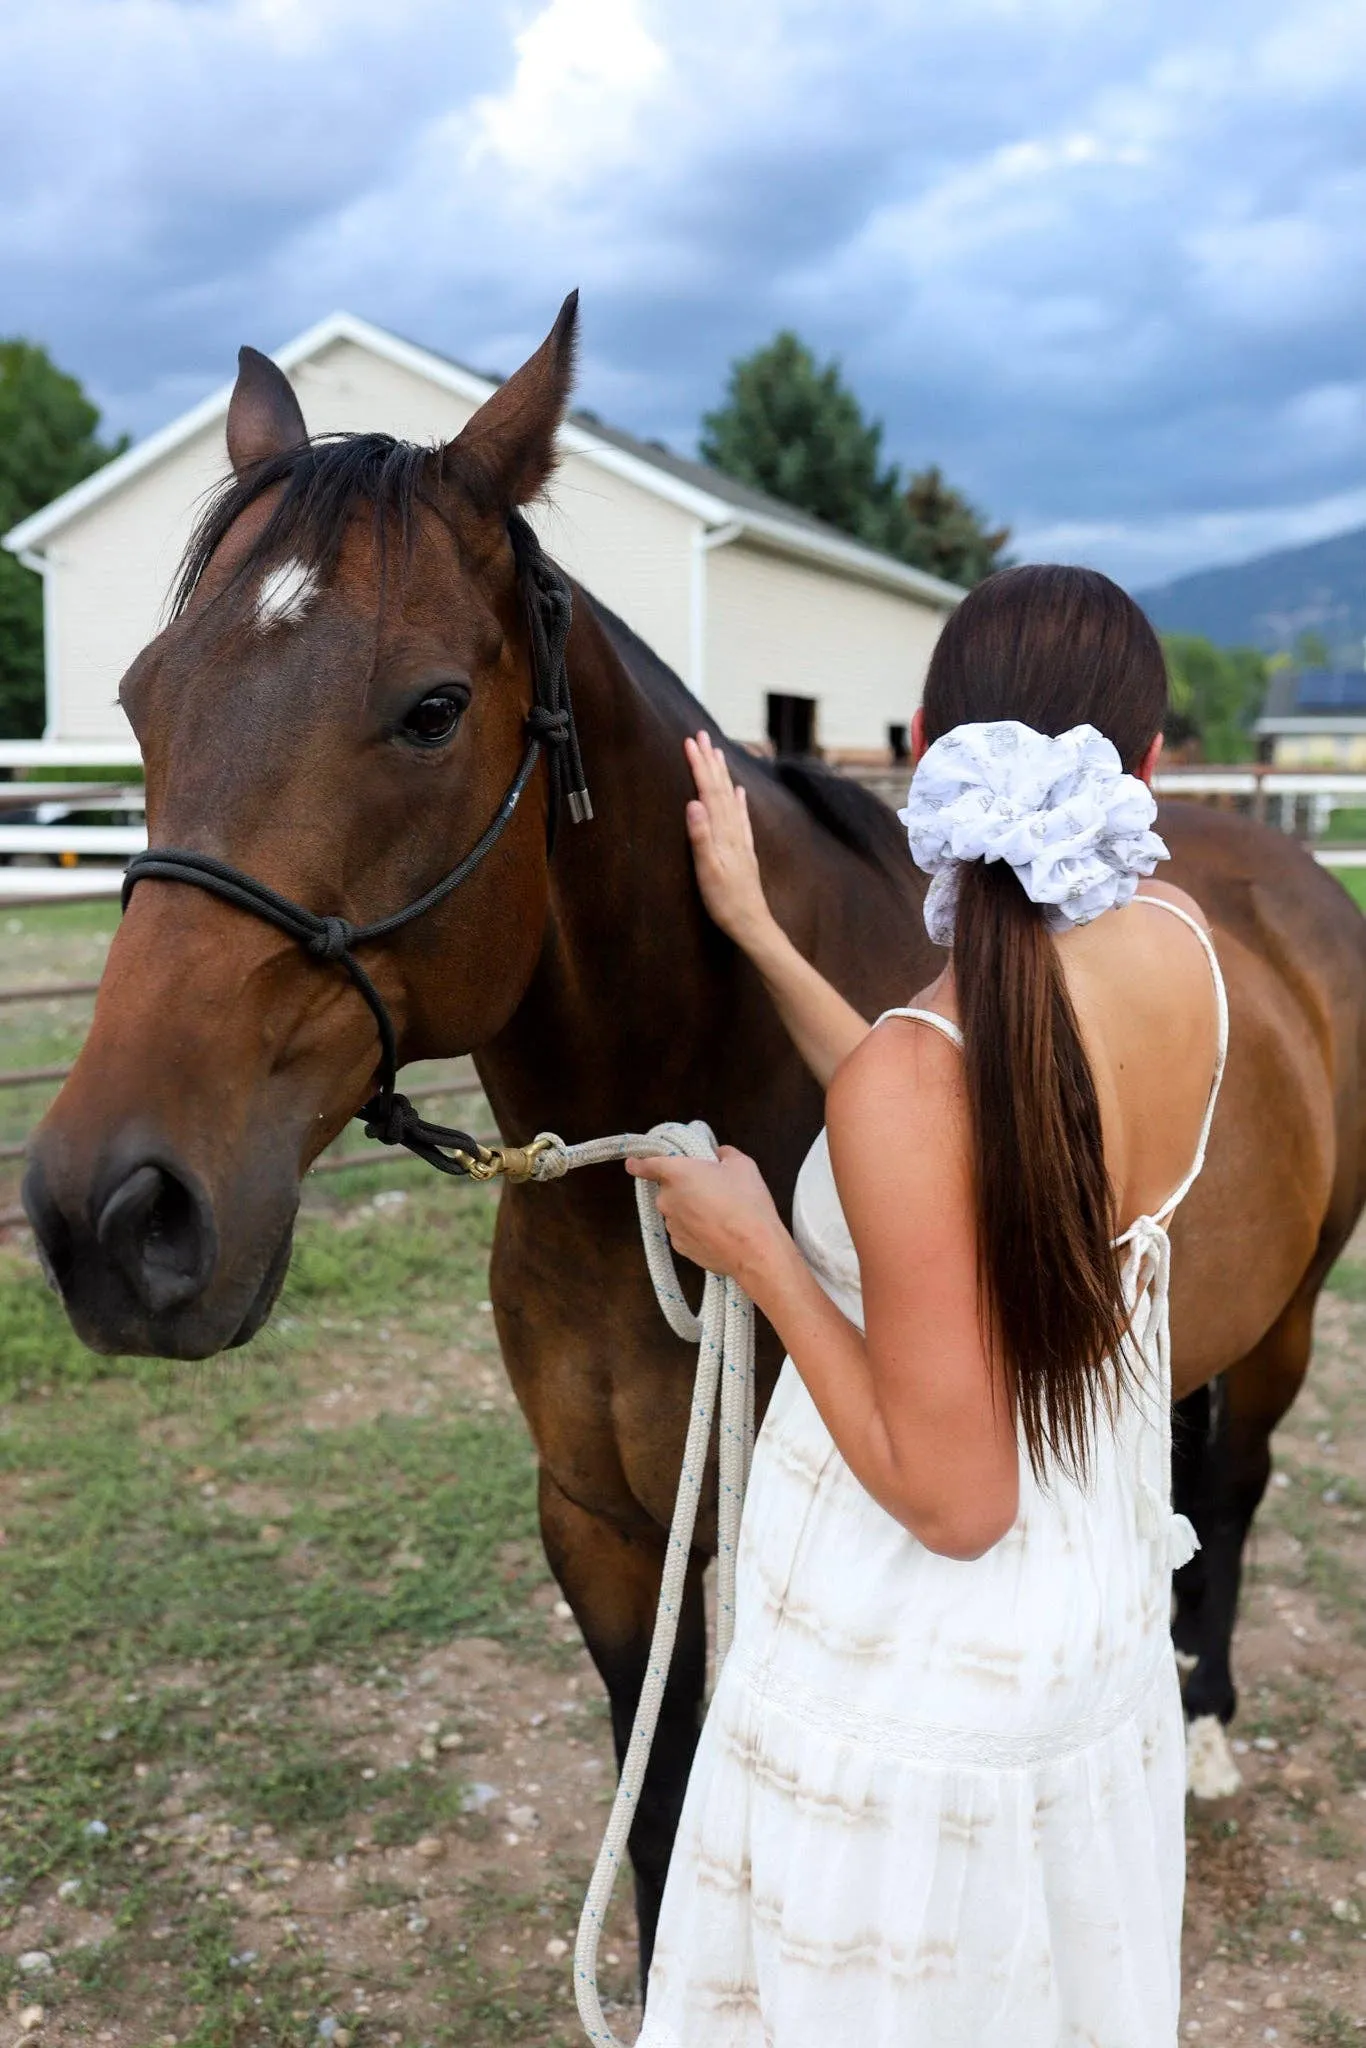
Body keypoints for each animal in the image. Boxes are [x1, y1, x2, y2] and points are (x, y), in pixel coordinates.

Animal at [21, 307, 1366, 1966]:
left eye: (430, 709)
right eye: (141, 698)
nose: (110, 1217)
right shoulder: (600, 1524)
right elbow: (655, 1813)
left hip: (1290, 1316)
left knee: (1230, 1491)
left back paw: (1207, 1722)